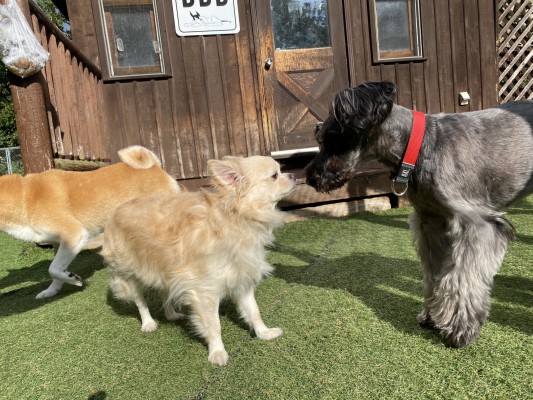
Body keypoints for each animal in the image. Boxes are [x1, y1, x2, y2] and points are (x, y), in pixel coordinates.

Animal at [0, 145, 179, 298]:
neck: (23, 197)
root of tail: (154, 166)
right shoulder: (59, 243)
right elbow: (56, 270)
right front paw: (52, 290)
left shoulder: (74, 235)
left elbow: (53, 269)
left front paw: (73, 279)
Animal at [102, 155, 298, 366]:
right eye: (274, 175)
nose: (293, 175)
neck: (235, 220)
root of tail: (117, 210)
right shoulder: (205, 291)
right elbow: (214, 324)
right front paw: (217, 352)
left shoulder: (242, 280)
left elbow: (254, 311)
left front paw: (264, 333)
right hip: (128, 274)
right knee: (140, 301)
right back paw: (148, 323)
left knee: (165, 292)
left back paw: (171, 315)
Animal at [304, 81, 532, 346]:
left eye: (331, 140)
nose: (310, 178)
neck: (421, 147)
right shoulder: (431, 223)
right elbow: (434, 274)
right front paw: (432, 316)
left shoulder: (476, 223)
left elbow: (461, 277)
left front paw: (459, 329)